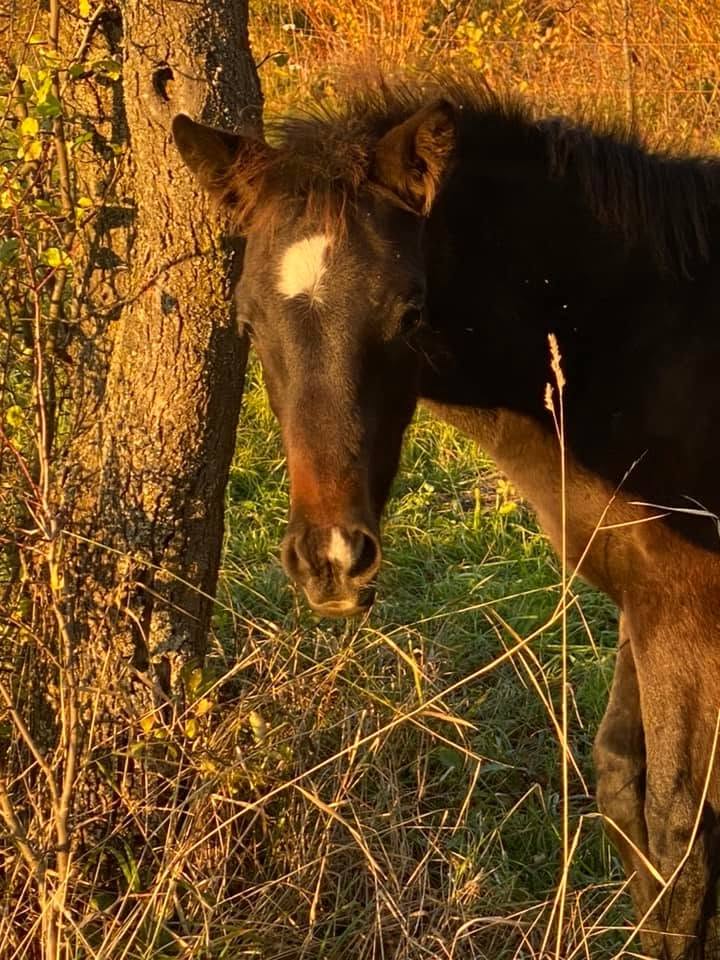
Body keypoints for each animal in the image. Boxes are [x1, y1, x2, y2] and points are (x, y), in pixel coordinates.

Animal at [172, 82, 720, 958]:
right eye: (248, 321)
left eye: (410, 312)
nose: (331, 559)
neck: (637, 342)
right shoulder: (644, 600)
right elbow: (623, 787)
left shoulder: (689, 609)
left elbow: (679, 833)